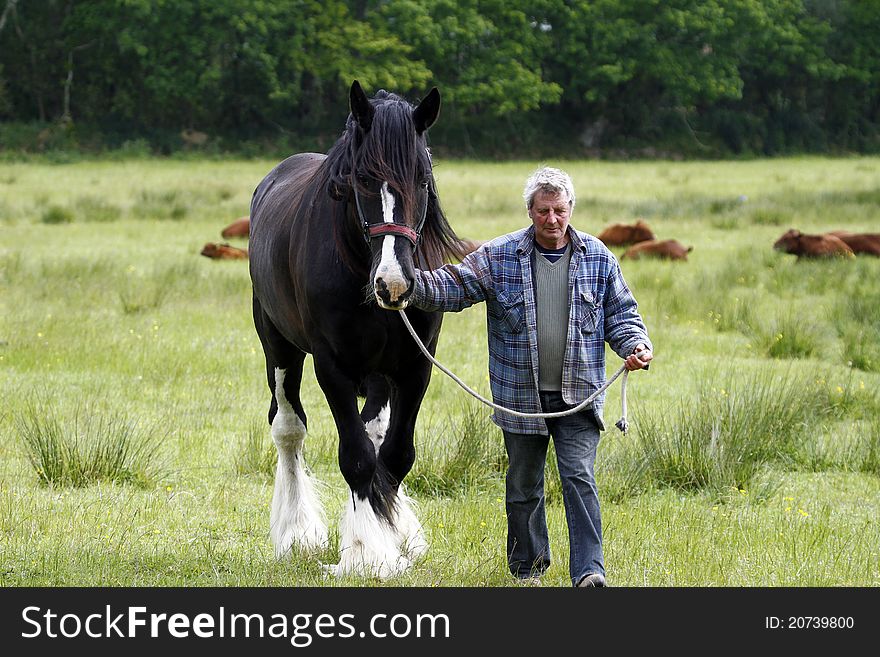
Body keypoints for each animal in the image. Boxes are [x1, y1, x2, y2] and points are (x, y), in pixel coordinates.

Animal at [249, 80, 468, 576]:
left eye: (423, 179)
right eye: (364, 180)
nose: (394, 282)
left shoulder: (414, 367)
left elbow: (395, 454)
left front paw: (393, 536)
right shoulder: (334, 369)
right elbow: (356, 459)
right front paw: (368, 553)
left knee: (377, 432)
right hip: (278, 347)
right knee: (288, 428)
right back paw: (297, 532)